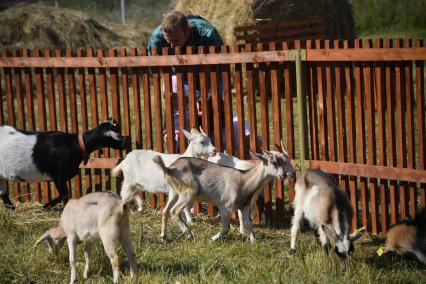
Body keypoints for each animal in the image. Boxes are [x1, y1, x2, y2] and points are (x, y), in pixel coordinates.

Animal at [153, 150, 296, 243]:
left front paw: (253, 242)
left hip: (174, 192)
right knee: (175, 211)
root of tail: (169, 169)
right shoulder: (224, 206)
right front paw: (212, 239)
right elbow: (226, 227)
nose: (283, 175)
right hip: (188, 193)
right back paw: (189, 234)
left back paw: (163, 237)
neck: (244, 180)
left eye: (281, 161)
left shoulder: (244, 206)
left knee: (165, 211)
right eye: (273, 162)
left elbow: (249, 224)